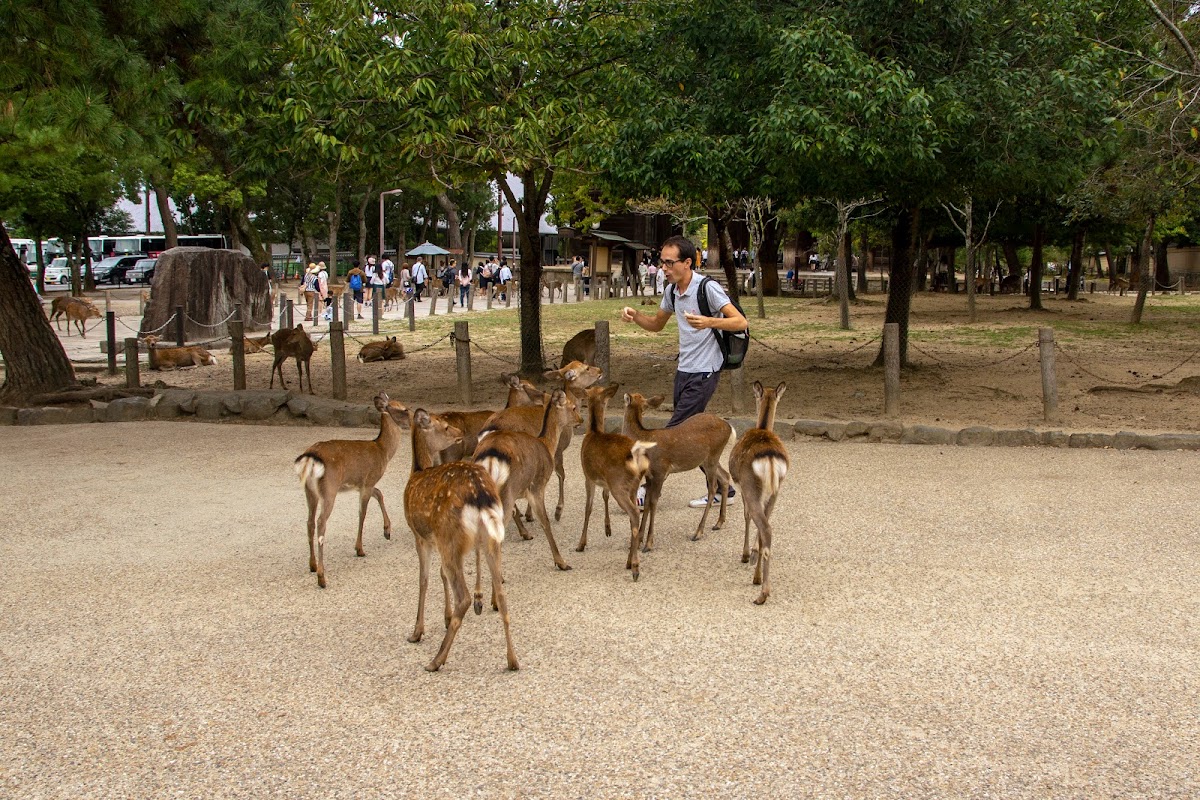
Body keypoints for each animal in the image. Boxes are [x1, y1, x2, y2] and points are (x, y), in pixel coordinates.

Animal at [292, 393, 405, 587]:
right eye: (403, 409)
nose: (416, 417)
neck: (383, 451)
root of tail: (310, 457)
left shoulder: (362, 484)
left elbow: (379, 493)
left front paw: (387, 531)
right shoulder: (368, 480)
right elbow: (362, 513)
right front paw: (360, 549)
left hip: (309, 490)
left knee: (309, 522)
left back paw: (312, 565)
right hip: (329, 488)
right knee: (321, 522)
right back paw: (322, 577)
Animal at [573, 383, 657, 578]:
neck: (593, 432)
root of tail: (634, 455)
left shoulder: (588, 476)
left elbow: (588, 508)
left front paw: (581, 544)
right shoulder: (605, 482)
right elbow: (604, 497)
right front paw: (607, 529)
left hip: (618, 484)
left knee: (634, 512)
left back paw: (635, 567)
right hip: (632, 485)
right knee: (635, 514)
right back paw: (629, 561)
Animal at [624, 393, 734, 551]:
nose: (626, 394)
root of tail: (729, 427)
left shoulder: (660, 471)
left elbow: (653, 502)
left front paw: (648, 543)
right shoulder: (649, 476)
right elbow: (647, 502)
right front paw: (638, 540)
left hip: (713, 455)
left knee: (713, 487)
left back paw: (698, 532)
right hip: (707, 459)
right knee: (725, 476)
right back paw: (718, 523)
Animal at [724, 383, 792, 604]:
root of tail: (770, 458)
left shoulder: (742, 487)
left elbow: (745, 517)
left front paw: (746, 555)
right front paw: (753, 554)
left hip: (751, 486)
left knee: (764, 526)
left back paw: (762, 593)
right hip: (776, 489)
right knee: (766, 526)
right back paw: (759, 579)